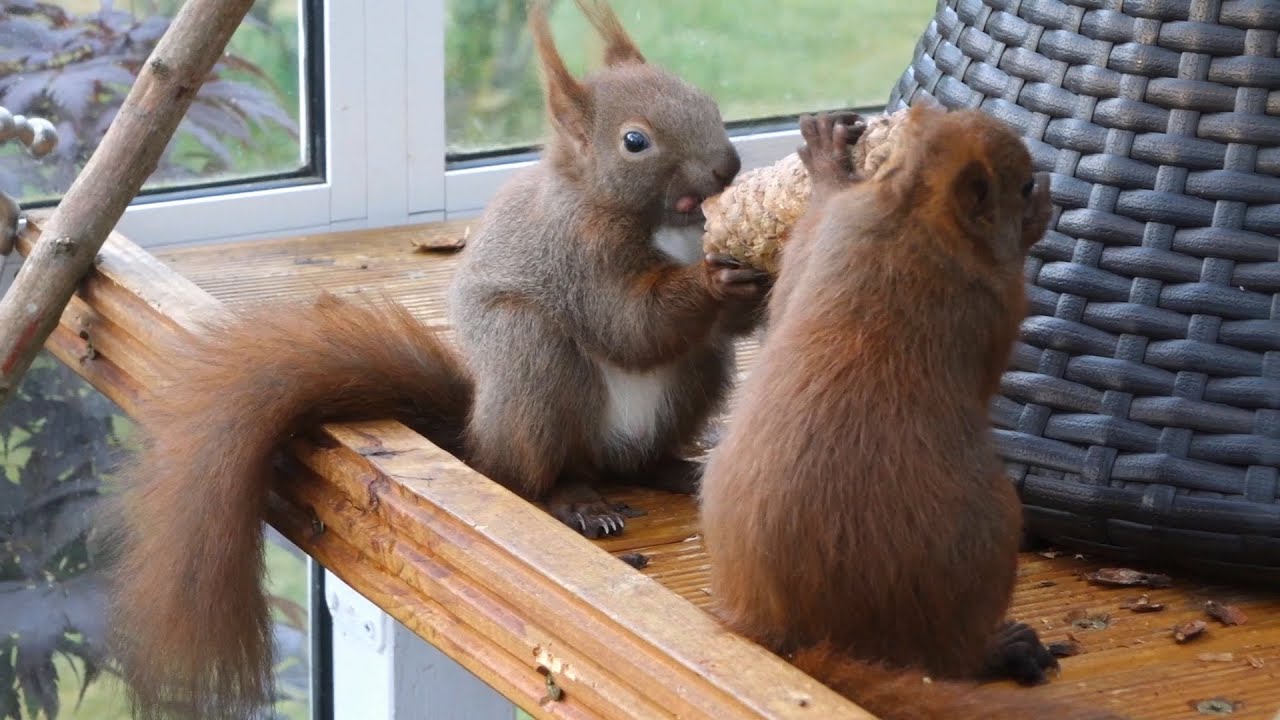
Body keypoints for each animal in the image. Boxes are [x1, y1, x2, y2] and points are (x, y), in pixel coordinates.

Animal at [104, 1, 765, 718]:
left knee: (647, 449)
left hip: (697, 377)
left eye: (706, 101)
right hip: (533, 362)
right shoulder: (578, 254)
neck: (662, 223)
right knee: (536, 472)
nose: (727, 166)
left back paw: (680, 470)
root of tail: (480, 433)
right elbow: (628, 326)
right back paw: (579, 502)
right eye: (634, 141)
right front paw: (713, 278)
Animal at [697, 107, 1128, 720]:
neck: (907, 212)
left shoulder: (821, 235)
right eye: (1022, 187)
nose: (1047, 190)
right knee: (952, 656)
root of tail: (803, 640)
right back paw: (1007, 650)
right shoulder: (998, 303)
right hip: (991, 542)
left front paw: (828, 161)